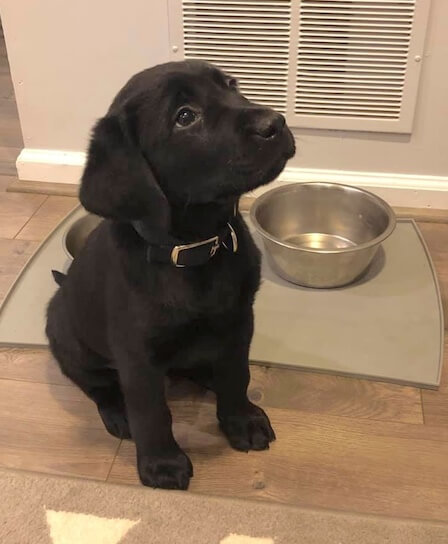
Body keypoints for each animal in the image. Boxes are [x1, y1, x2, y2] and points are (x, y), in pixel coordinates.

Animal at [47, 61, 296, 490]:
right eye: (184, 117)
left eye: (232, 85)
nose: (275, 123)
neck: (197, 249)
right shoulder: (137, 354)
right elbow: (151, 411)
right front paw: (161, 463)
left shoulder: (239, 320)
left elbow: (237, 373)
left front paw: (241, 420)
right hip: (72, 342)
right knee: (98, 385)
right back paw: (118, 412)